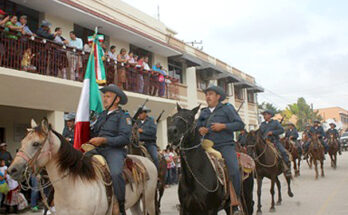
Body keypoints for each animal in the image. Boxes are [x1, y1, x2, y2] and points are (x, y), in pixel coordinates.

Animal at [7, 118, 157, 215]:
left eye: (36, 144)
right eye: (22, 141)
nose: (12, 170)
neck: (73, 187)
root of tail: (147, 161)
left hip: (149, 200)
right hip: (136, 203)